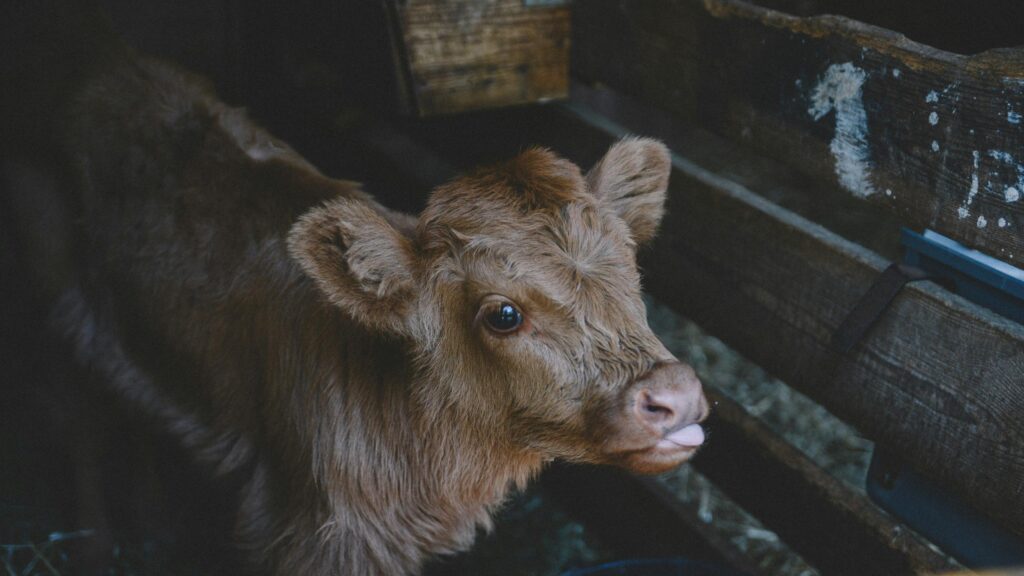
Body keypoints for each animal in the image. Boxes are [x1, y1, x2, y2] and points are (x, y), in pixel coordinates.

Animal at [1, 5, 709, 575]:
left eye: (632, 270)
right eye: (502, 314)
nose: (674, 394)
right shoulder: (314, 533)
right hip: (53, 295)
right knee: (82, 419)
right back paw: (97, 545)